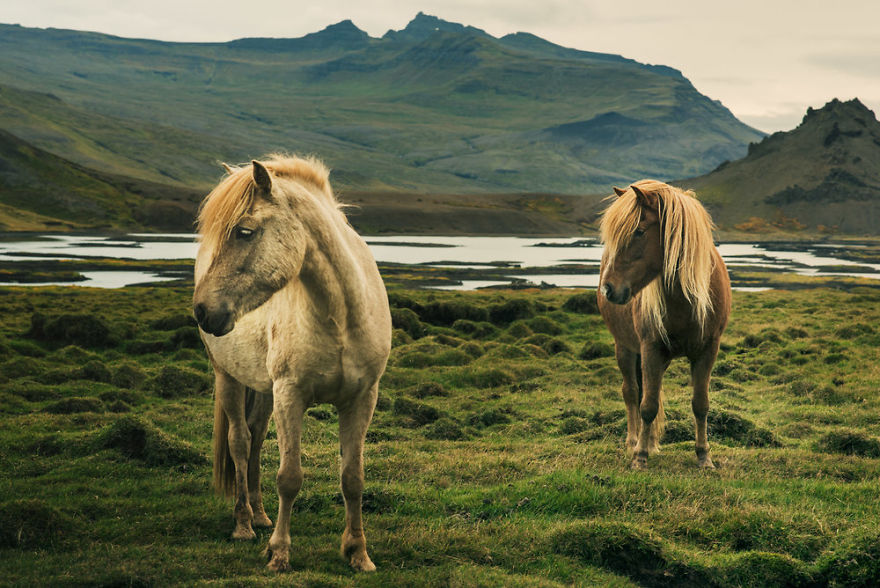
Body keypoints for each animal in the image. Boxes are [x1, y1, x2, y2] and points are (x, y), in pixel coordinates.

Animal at [192, 155, 391, 572]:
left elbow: (353, 478)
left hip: (265, 391)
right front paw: (279, 553)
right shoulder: (291, 396)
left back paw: (260, 514)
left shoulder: (362, 398)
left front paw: (358, 552)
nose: (203, 310)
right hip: (228, 377)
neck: (340, 318)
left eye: (245, 232)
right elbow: (289, 477)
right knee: (239, 442)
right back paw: (244, 525)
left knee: (255, 438)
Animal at [597, 180, 731, 470]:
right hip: (625, 348)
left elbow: (700, 404)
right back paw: (633, 441)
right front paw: (639, 457)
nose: (608, 289)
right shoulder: (650, 349)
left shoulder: (708, 350)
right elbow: (647, 405)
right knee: (631, 392)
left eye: (638, 231)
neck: (686, 300)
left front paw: (704, 456)